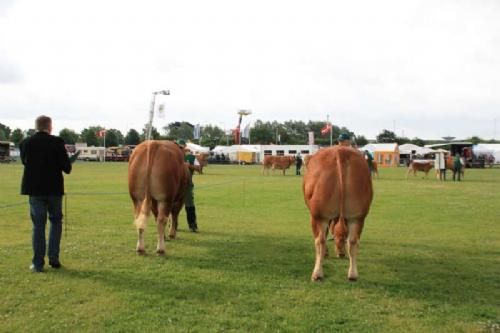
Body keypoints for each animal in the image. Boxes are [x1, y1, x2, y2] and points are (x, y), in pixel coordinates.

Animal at [302, 145, 374, 280]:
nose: (340, 254)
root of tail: (340, 151)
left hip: (319, 215)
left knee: (320, 240)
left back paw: (317, 274)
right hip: (357, 215)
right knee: (353, 241)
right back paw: (352, 275)